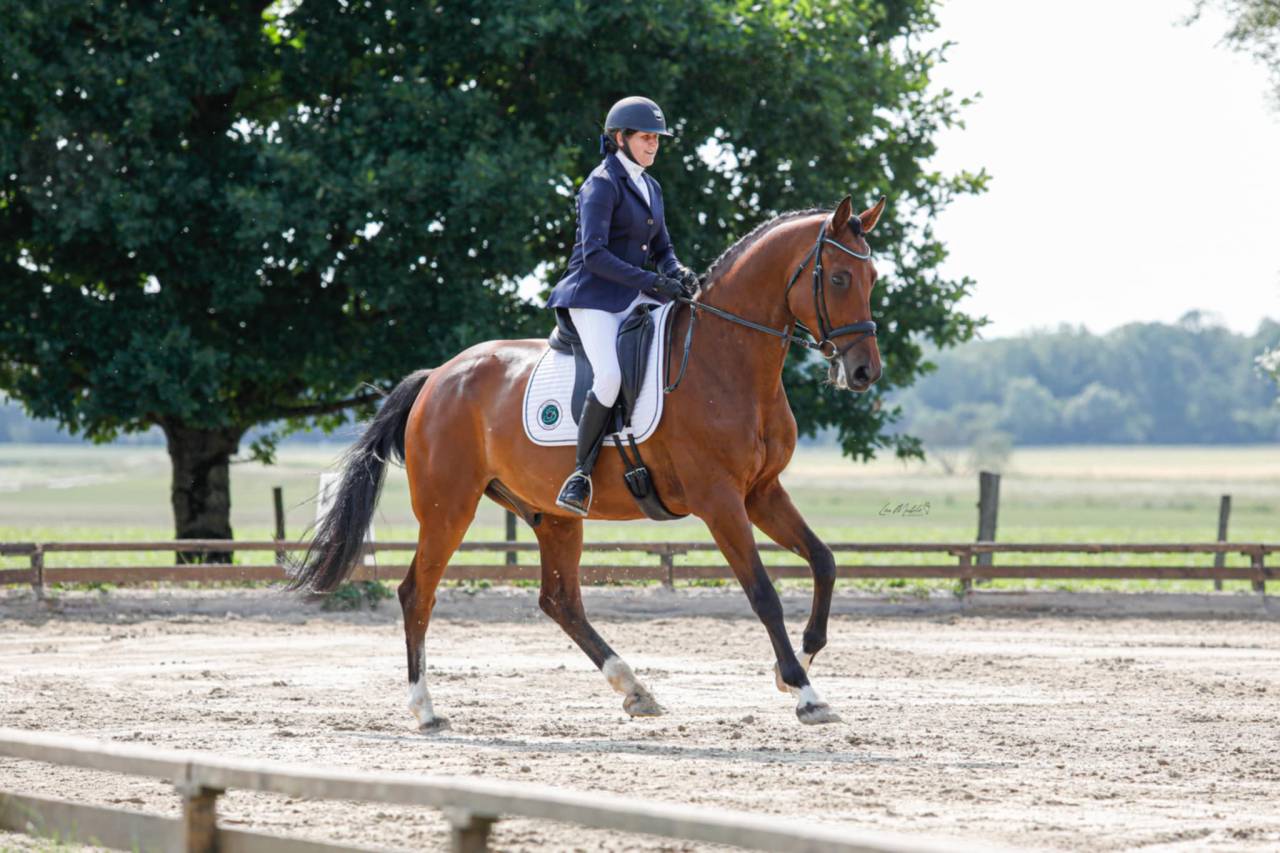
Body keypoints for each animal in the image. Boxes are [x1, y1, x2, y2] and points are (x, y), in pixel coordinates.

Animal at [291, 194, 885, 731]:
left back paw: (636, 689)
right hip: (448, 507)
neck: (728, 359)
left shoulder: (761, 492)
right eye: (837, 279)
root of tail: (437, 376)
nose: (864, 372)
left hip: (550, 514)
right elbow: (762, 592)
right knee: (418, 591)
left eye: (873, 277)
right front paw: (805, 692)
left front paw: (798, 662)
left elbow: (824, 561)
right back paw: (425, 709)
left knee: (561, 601)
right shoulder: (719, 501)